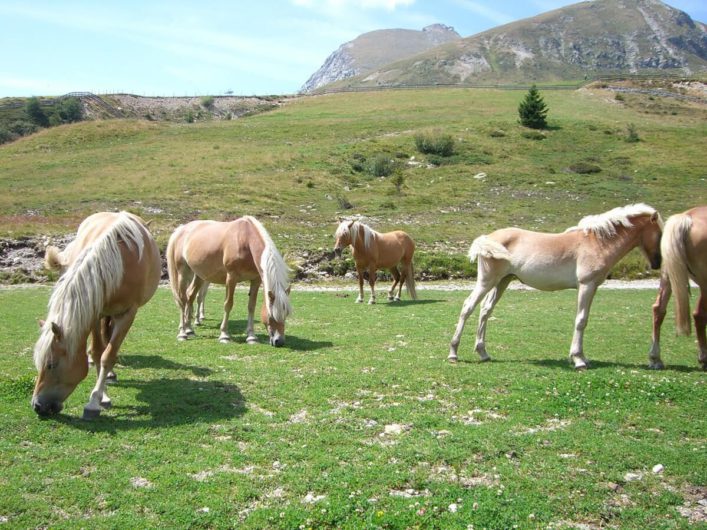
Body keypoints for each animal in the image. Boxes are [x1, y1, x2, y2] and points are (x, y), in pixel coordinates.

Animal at [32, 210, 162, 416]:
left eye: (51, 364)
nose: (37, 405)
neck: (119, 262)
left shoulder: (127, 314)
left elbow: (108, 355)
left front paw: (94, 401)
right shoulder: (93, 313)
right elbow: (97, 352)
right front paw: (103, 395)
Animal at [167, 216, 292, 344]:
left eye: (286, 314)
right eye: (271, 315)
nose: (279, 341)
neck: (245, 240)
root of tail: (181, 230)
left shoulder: (255, 280)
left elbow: (251, 306)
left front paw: (251, 336)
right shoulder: (232, 278)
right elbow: (228, 304)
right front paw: (224, 335)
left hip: (200, 275)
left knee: (190, 296)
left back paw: (189, 329)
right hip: (183, 273)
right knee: (183, 299)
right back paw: (182, 333)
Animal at [448, 202, 664, 368]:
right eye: (660, 234)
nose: (658, 263)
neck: (597, 242)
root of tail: (488, 238)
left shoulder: (592, 287)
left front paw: (582, 357)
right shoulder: (586, 285)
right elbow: (581, 320)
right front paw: (579, 359)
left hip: (502, 281)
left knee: (485, 310)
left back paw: (483, 353)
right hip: (487, 281)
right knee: (468, 307)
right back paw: (453, 353)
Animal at [648, 204, 704, 370]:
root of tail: (686, 218)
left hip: (668, 274)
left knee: (658, 309)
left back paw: (655, 358)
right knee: (699, 314)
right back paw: (703, 358)